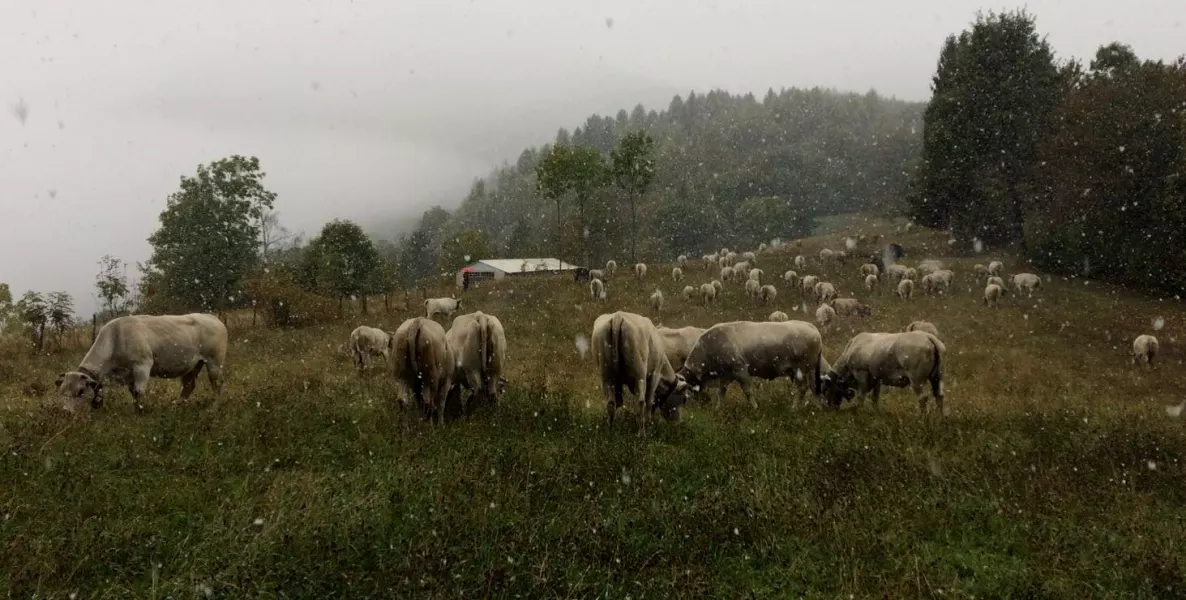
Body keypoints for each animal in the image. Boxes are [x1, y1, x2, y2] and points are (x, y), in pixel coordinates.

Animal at [678, 317, 825, 407]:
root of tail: (811, 327)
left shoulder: (740, 370)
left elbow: (748, 392)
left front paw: (755, 407)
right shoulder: (726, 375)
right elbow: (721, 392)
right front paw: (718, 408)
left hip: (801, 369)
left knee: (803, 388)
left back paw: (793, 408)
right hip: (810, 370)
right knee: (814, 388)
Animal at [820, 329, 948, 415]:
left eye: (826, 389)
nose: (828, 407)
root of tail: (928, 336)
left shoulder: (861, 374)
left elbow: (861, 397)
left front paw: (859, 412)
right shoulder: (876, 379)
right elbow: (874, 398)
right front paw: (876, 413)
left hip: (916, 380)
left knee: (922, 398)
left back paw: (921, 418)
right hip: (938, 376)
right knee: (939, 395)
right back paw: (939, 418)